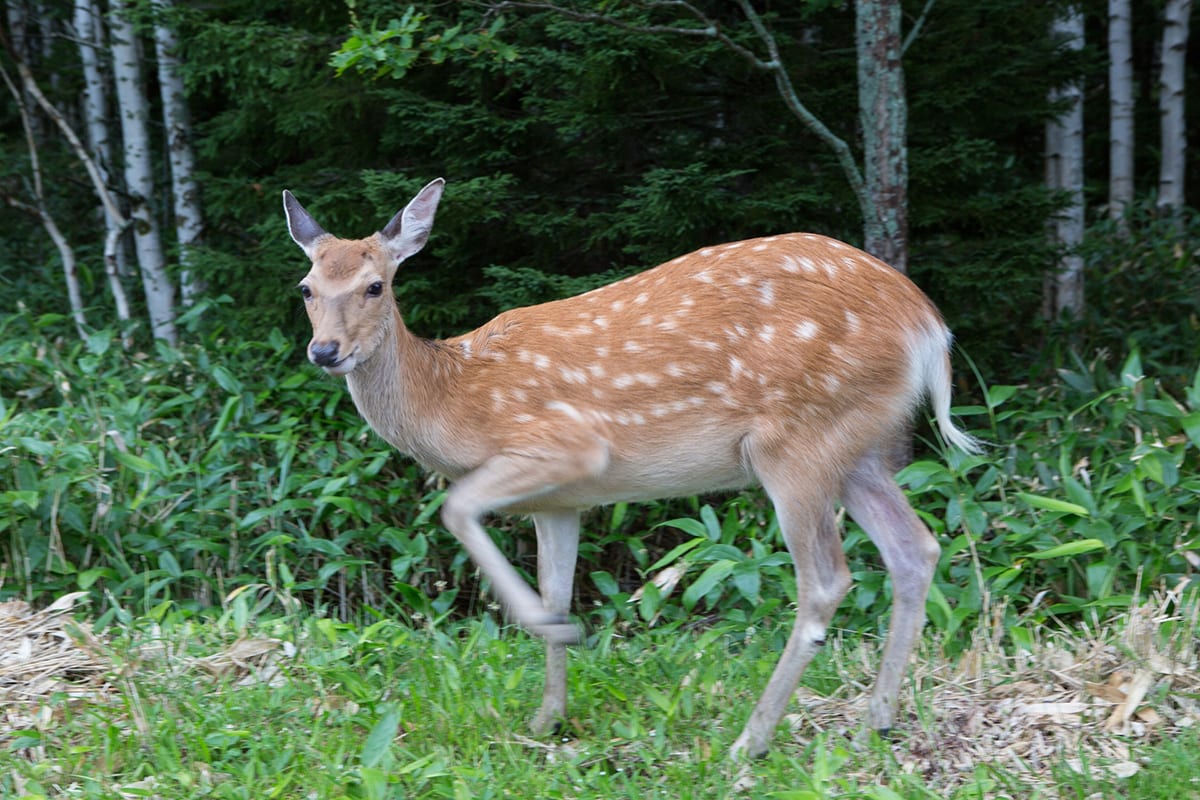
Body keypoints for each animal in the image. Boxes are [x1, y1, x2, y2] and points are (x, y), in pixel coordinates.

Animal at [285, 178, 979, 762]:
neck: (456, 398)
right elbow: (557, 587)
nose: (325, 351)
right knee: (914, 549)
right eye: (307, 288)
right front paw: (547, 718)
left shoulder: (565, 446)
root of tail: (928, 326)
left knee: (828, 581)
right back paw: (874, 722)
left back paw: (749, 741)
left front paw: (550, 632)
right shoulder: (560, 503)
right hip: (855, 446)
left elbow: (456, 508)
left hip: (797, 441)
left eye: (375, 285)